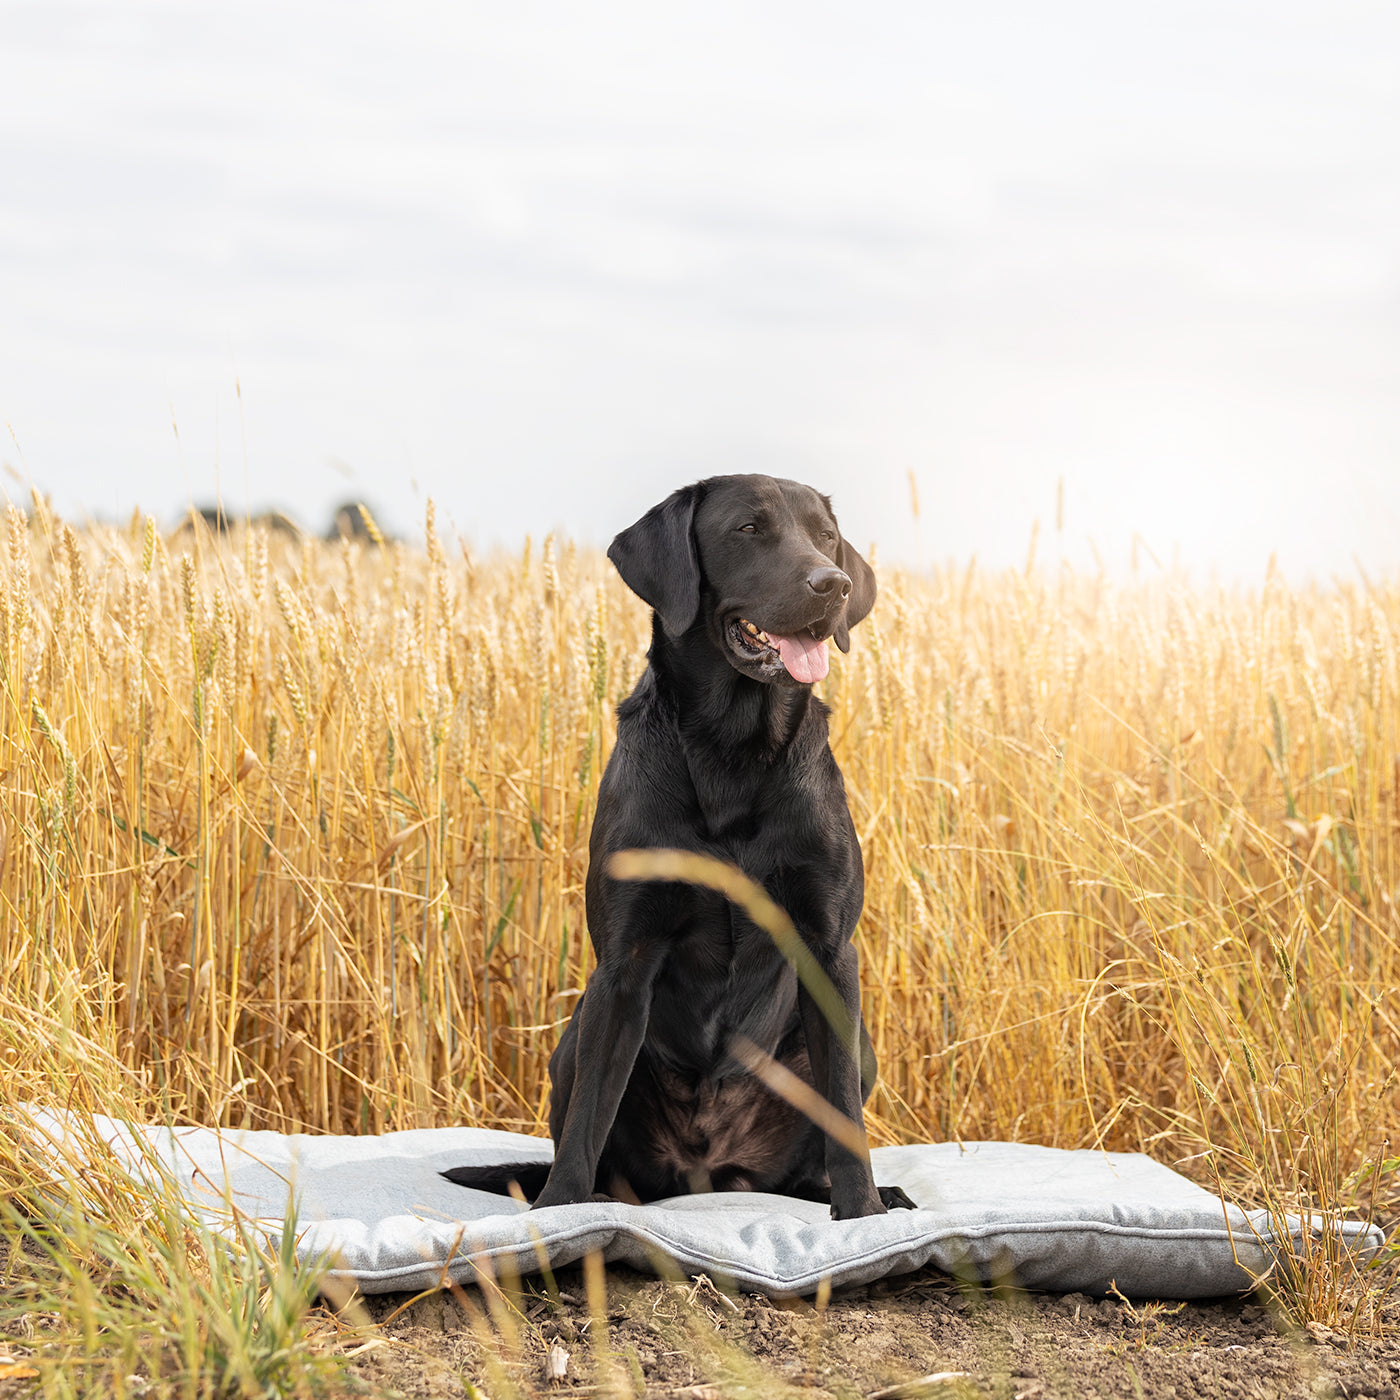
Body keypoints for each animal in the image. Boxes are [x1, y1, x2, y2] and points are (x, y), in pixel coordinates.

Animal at [442, 476, 912, 1220]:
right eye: (749, 529)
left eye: (827, 536)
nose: (832, 584)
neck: (731, 752)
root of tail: (709, 1172)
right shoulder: (625, 960)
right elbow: (589, 1115)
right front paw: (558, 1210)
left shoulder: (829, 947)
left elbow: (843, 1110)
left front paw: (863, 1214)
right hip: (574, 1034)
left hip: (860, 1043)